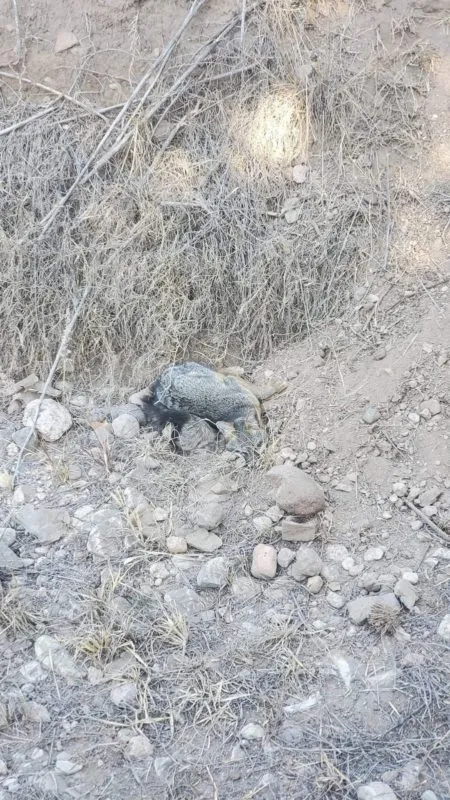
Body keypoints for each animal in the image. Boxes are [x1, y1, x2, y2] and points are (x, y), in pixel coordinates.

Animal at [139, 361, 286, 458]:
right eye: (243, 452)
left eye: (257, 445)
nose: (253, 462)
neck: (237, 411)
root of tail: (160, 381)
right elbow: (261, 393)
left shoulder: (243, 389)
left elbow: (263, 392)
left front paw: (278, 386)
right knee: (221, 371)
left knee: (221, 370)